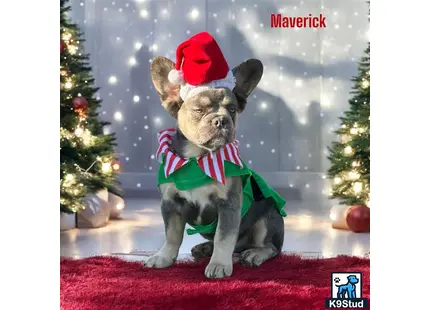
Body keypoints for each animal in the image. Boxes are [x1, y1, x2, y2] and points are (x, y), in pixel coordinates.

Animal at [144, 52, 286, 278]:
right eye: (199, 110)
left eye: (232, 109)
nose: (221, 120)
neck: (199, 159)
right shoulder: (170, 203)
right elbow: (172, 234)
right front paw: (164, 256)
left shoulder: (228, 204)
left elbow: (223, 237)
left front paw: (218, 264)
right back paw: (206, 248)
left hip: (267, 217)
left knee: (270, 247)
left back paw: (254, 254)